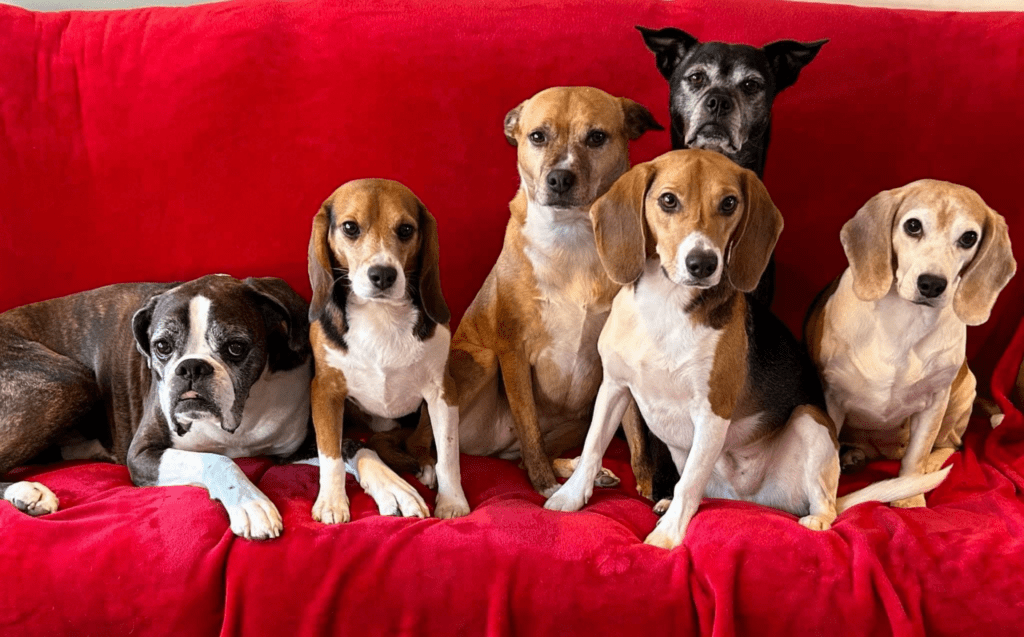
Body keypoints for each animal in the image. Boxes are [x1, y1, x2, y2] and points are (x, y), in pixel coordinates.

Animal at [305, 178, 468, 524]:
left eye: (406, 229)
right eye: (350, 227)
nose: (382, 274)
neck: (380, 314)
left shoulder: (443, 392)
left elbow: (449, 454)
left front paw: (453, 501)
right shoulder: (325, 391)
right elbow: (330, 454)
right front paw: (332, 502)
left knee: (420, 443)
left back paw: (424, 465)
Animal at [450, 87, 663, 497]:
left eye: (596, 137)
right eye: (538, 136)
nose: (560, 178)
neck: (572, 236)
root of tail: (489, 448)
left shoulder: (617, 364)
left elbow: (637, 436)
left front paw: (648, 488)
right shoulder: (513, 355)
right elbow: (530, 428)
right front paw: (544, 486)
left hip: (579, 418)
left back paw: (582, 468)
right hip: (482, 361)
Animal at [544, 152, 950, 553]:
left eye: (729, 203)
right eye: (668, 200)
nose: (703, 263)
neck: (666, 304)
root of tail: (750, 500)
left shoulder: (712, 413)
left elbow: (688, 482)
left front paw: (668, 534)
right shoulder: (614, 387)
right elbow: (593, 447)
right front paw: (569, 498)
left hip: (810, 421)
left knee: (822, 499)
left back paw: (817, 519)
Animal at [806, 178, 1015, 503]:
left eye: (969, 238)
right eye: (913, 226)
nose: (932, 284)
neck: (904, 322)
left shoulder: (934, 403)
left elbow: (916, 456)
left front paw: (909, 497)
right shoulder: (832, 398)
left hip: (963, 392)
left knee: (951, 445)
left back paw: (930, 467)